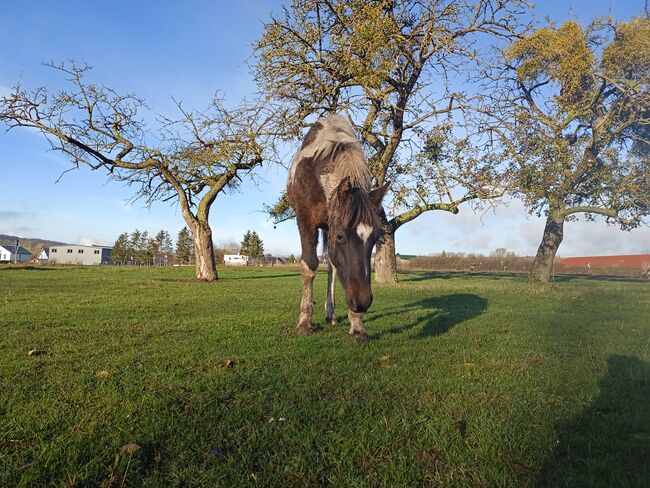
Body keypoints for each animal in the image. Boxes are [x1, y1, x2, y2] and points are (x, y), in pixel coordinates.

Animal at [286, 114, 388, 344]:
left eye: (375, 237)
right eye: (341, 236)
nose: (362, 302)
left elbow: (340, 269)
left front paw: (357, 326)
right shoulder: (306, 221)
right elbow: (309, 266)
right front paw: (304, 321)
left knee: (332, 266)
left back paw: (330, 314)